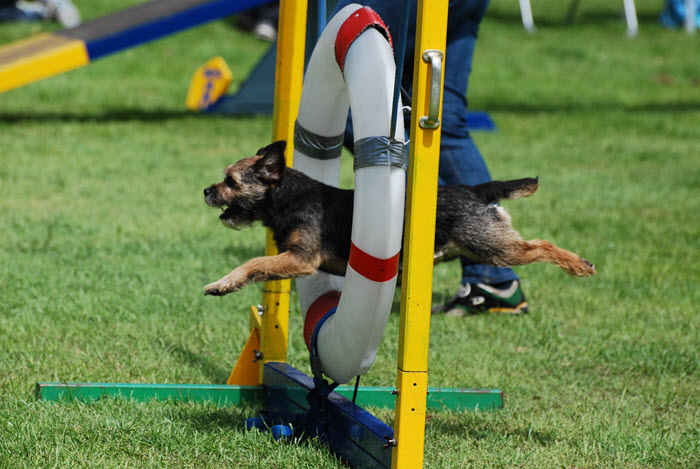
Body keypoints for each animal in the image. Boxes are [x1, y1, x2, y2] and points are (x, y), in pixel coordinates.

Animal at [202, 139, 596, 294]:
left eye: (230, 181)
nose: (206, 190)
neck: (289, 197)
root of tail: (475, 190)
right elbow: (262, 268)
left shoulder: (301, 258)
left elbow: (253, 262)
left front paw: (222, 282)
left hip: (494, 246)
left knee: (542, 245)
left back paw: (579, 265)